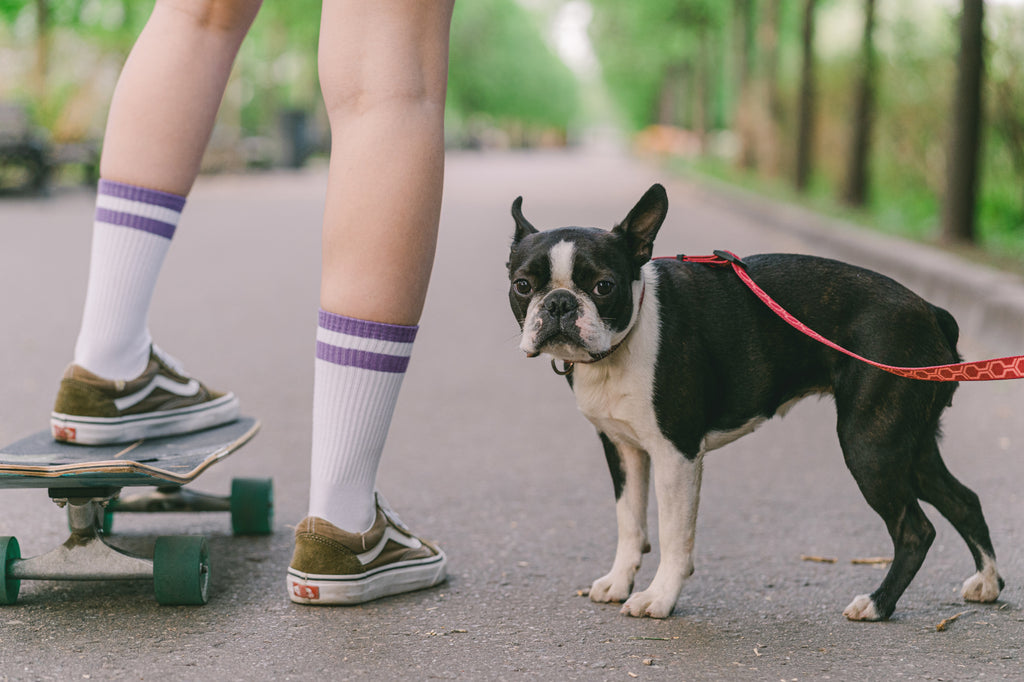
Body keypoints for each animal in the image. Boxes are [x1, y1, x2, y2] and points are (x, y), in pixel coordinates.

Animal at [507, 183, 1003, 618]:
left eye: (604, 287)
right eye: (523, 286)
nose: (559, 303)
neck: (624, 340)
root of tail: (930, 311)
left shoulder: (676, 453)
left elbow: (673, 533)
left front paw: (659, 598)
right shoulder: (623, 449)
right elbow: (630, 521)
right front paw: (618, 581)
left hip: (870, 444)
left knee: (915, 529)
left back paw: (878, 604)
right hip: (908, 443)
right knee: (964, 500)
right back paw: (988, 583)